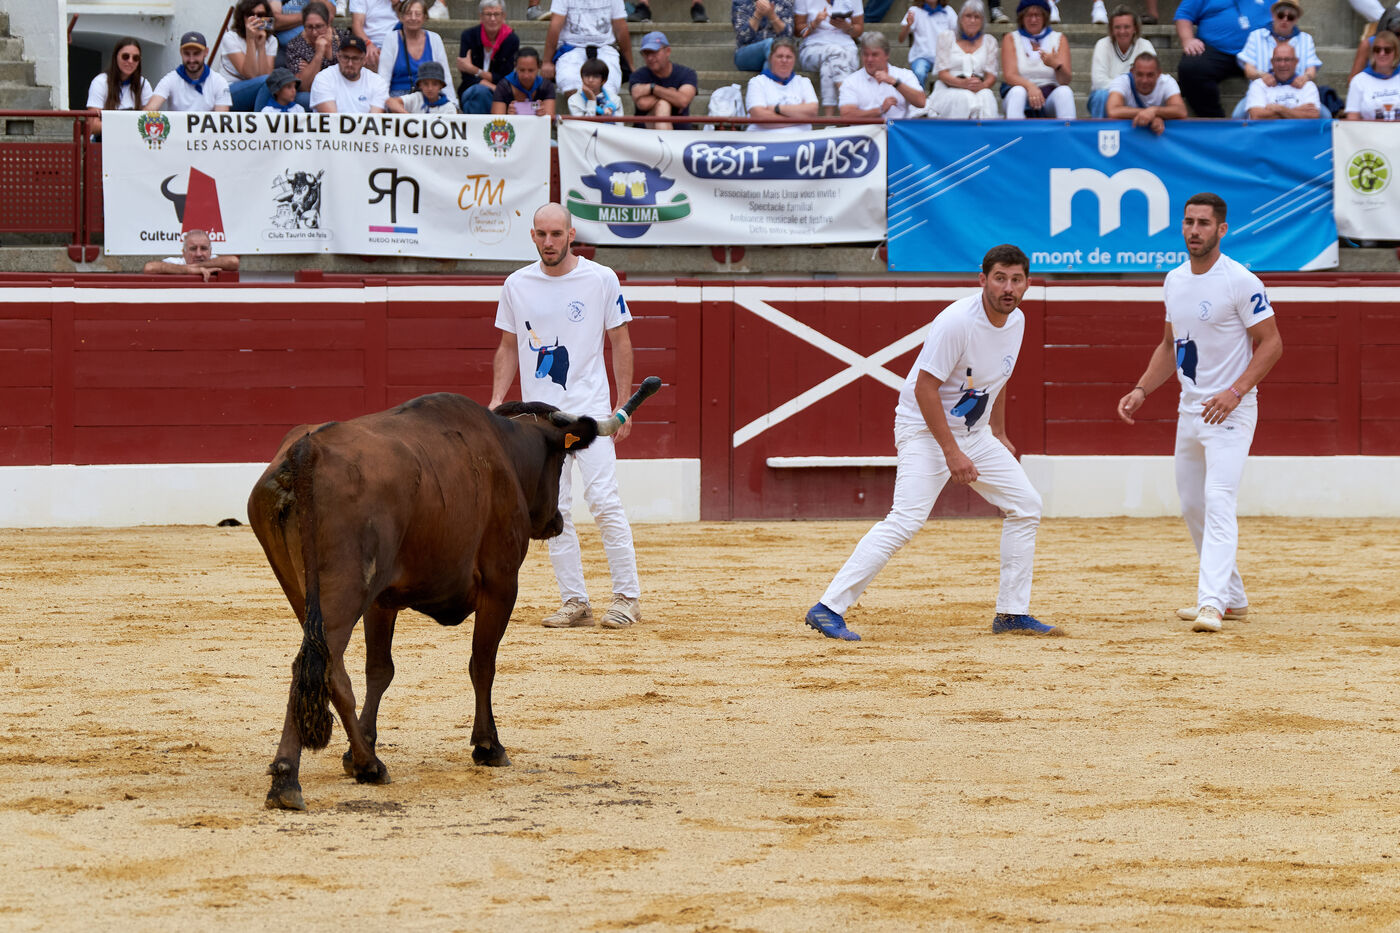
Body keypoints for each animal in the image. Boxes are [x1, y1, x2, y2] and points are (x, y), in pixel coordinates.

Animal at [248, 379, 659, 811]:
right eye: (562, 461)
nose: (556, 521)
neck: (504, 448)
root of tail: (307, 452)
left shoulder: (381, 601)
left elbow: (379, 670)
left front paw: (358, 750)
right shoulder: (501, 584)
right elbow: (483, 664)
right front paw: (488, 746)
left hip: (304, 594)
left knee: (327, 668)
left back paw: (360, 764)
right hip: (343, 594)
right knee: (315, 666)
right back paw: (293, 779)